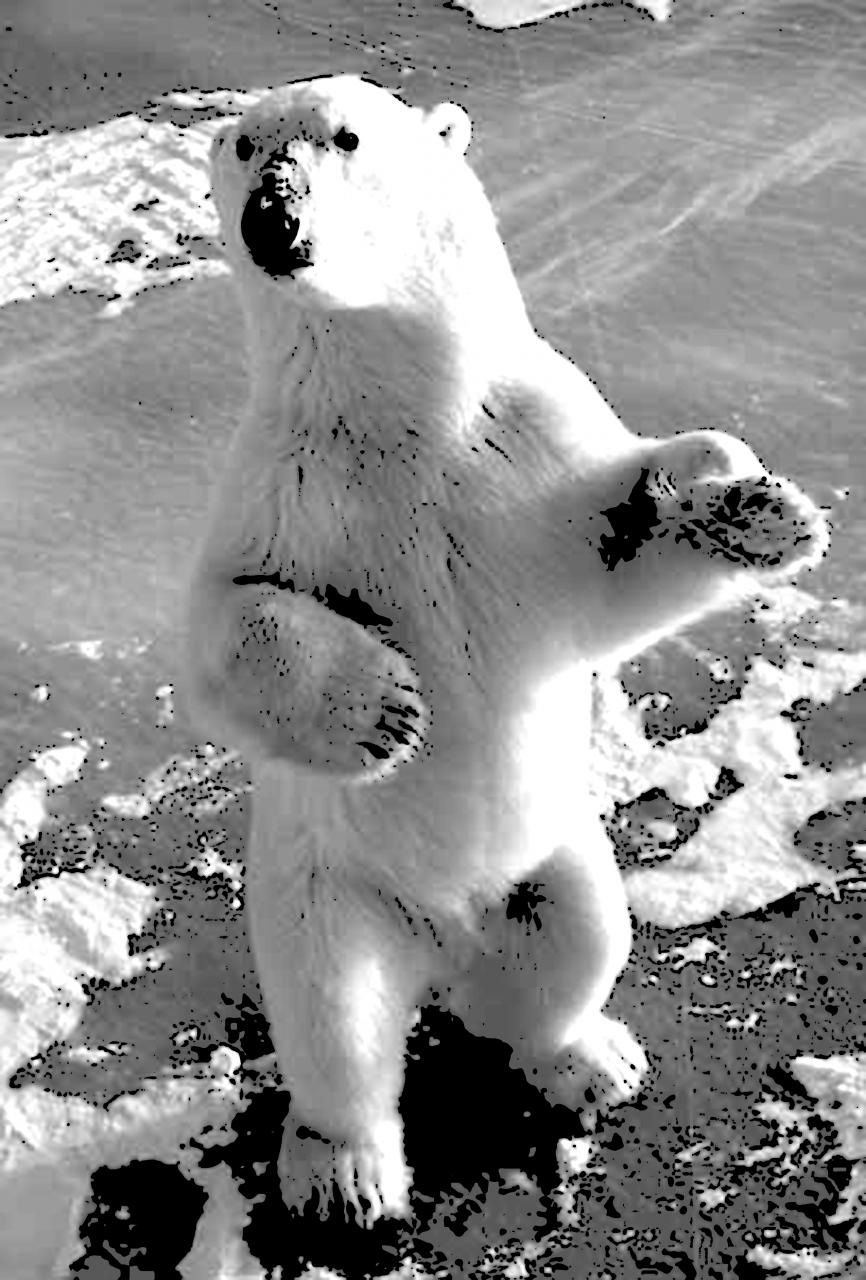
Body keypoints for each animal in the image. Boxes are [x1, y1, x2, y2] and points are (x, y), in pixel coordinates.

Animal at [184, 74, 829, 1228]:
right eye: (245, 147)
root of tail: (441, 945)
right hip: (323, 894)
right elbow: (226, 624)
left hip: (554, 857)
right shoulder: (282, 484)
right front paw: (388, 706)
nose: (275, 221)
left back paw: (587, 1058)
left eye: (347, 136)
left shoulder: (520, 453)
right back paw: (343, 1172)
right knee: (335, 1021)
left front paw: (757, 510)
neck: (394, 421)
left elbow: (610, 568)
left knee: (576, 937)